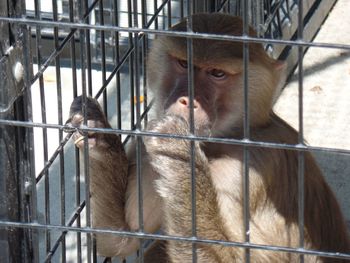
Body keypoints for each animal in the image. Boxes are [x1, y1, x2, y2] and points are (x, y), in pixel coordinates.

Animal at [66, 11, 350, 262]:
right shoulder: (146, 151)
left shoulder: (246, 170)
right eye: (184, 64)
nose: (187, 99)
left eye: (217, 73)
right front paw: (95, 131)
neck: (223, 140)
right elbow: (121, 239)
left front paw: (180, 159)